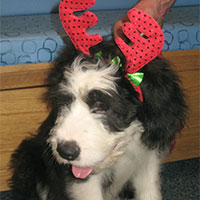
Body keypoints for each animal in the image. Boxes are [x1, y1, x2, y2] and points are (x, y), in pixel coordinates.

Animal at [9, 40, 188, 200]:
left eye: (102, 106)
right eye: (66, 101)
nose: (66, 151)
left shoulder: (147, 161)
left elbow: (149, 193)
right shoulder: (82, 179)